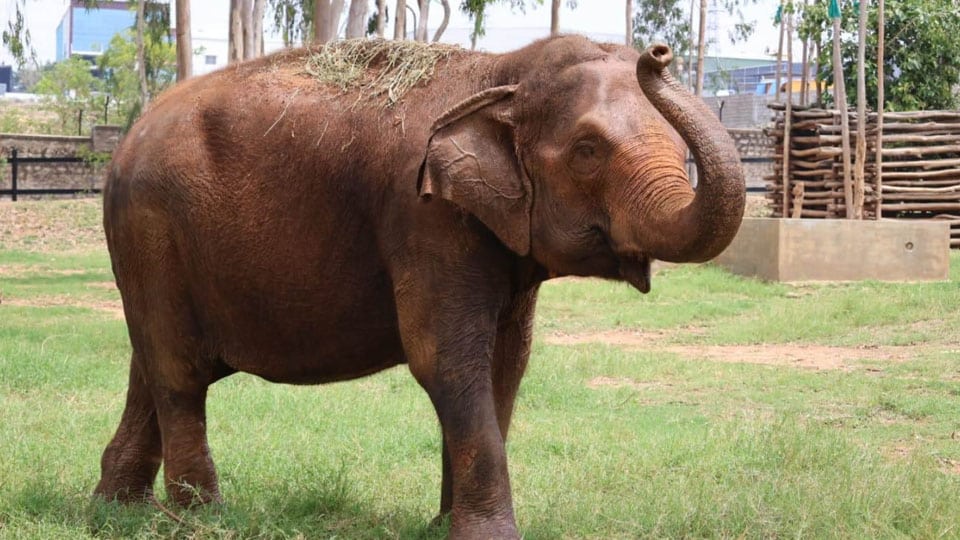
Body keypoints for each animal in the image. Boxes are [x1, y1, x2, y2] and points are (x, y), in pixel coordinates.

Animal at [94, 36, 744, 538]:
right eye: (588, 150)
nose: (658, 53)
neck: (502, 71)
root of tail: (125, 140)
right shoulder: (423, 217)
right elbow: (447, 361)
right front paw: (488, 536)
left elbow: (508, 363)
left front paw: (444, 527)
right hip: (151, 228)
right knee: (178, 374)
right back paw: (202, 519)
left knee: (151, 366)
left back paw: (121, 510)